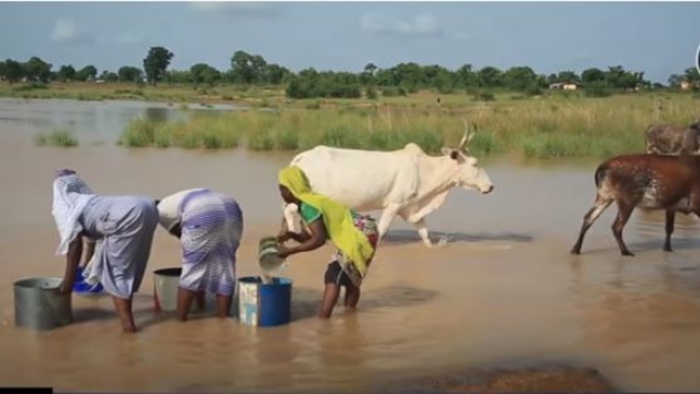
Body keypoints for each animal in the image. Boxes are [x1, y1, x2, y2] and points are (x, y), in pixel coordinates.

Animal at [282, 123, 494, 248]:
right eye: (475, 163)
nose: (491, 187)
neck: (426, 170)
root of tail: (302, 157)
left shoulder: (413, 208)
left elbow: (425, 234)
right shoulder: (394, 204)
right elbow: (382, 231)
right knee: (290, 213)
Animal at [572, 152, 700, 258]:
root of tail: (604, 165)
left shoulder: (671, 206)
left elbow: (669, 228)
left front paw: (667, 249)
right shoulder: (695, 204)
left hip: (604, 197)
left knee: (589, 217)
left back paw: (576, 249)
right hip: (627, 201)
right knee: (616, 226)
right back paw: (625, 252)